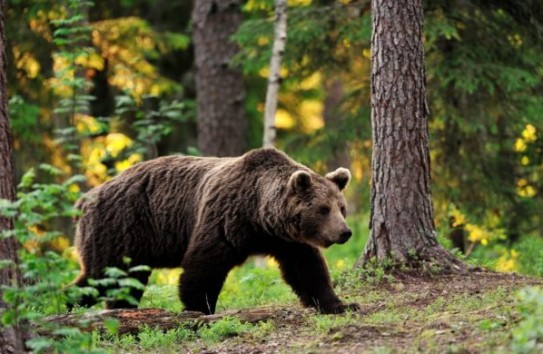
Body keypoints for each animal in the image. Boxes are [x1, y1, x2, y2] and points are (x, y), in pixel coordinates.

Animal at [72, 148, 362, 314]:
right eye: (323, 209)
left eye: (341, 207)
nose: (345, 232)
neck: (259, 214)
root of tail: (86, 198)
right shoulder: (226, 218)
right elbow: (204, 265)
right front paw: (199, 308)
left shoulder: (286, 240)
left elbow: (308, 270)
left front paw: (341, 304)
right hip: (120, 227)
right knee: (102, 276)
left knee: (124, 282)